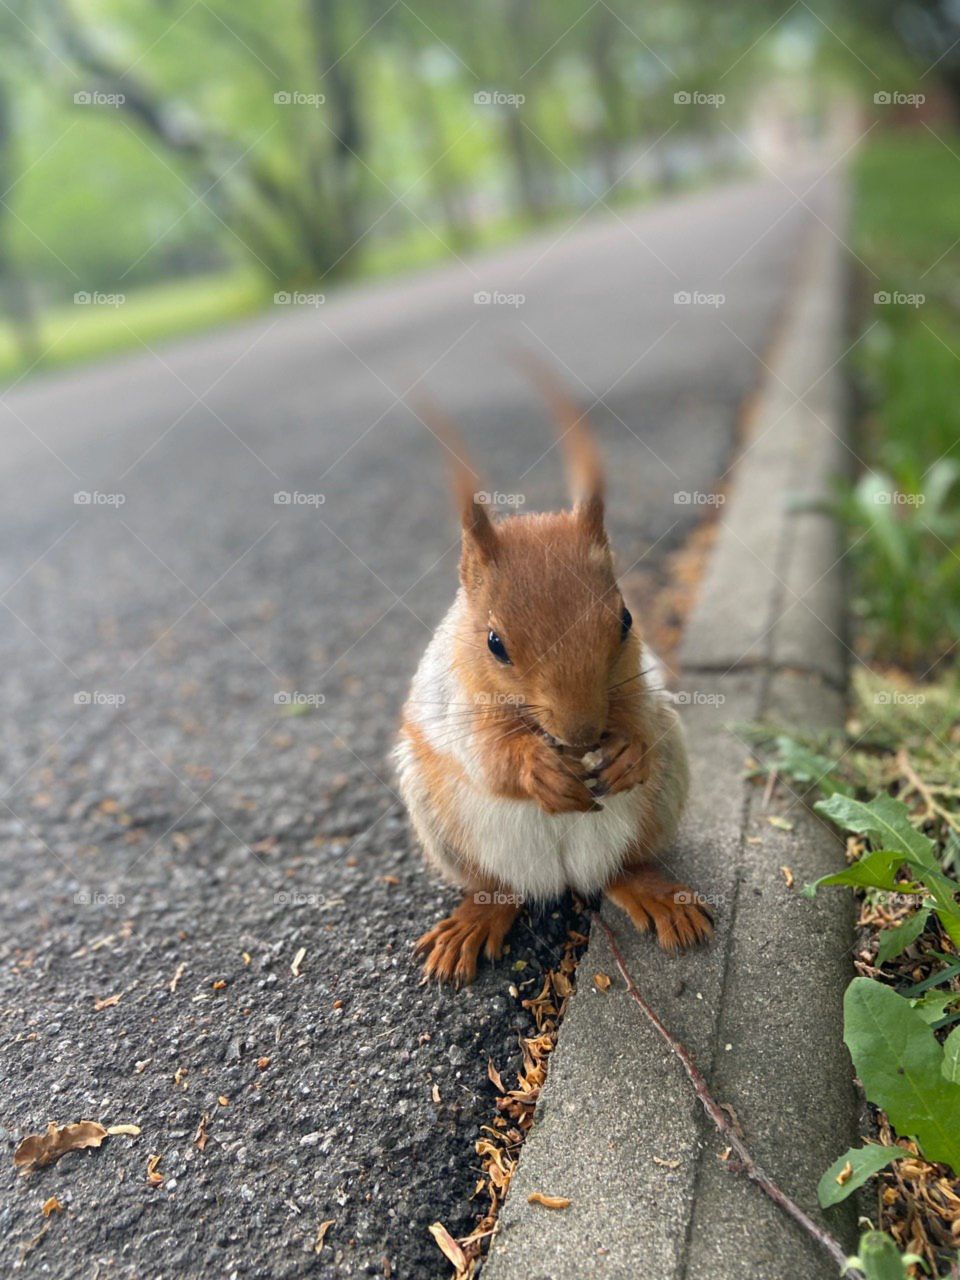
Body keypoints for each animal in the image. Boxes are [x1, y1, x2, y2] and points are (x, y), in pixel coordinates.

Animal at [395, 380, 712, 985]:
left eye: (626, 620)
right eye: (494, 642)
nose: (583, 734)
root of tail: (562, 877)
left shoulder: (640, 683)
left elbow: (640, 715)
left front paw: (627, 751)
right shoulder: (454, 702)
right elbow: (486, 755)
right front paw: (534, 768)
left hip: (662, 794)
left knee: (621, 868)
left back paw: (651, 891)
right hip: (441, 823)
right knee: (497, 888)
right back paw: (474, 920)